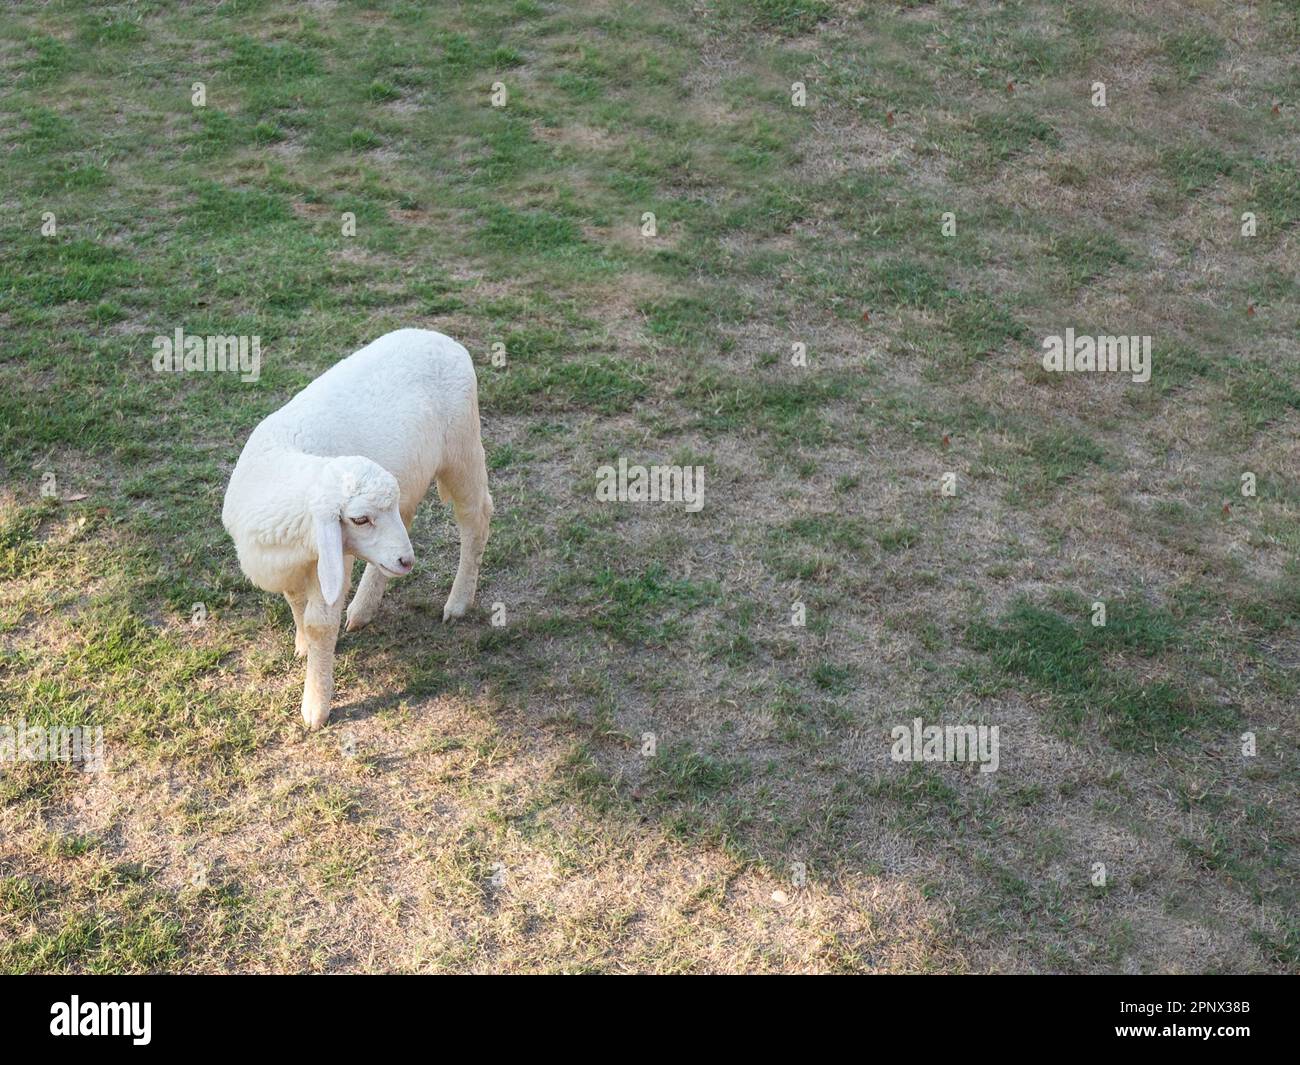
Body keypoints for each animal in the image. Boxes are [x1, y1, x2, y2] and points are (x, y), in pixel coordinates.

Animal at [222, 328, 493, 730]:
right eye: (360, 519)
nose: (409, 562)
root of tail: (440, 337)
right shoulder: (296, 564)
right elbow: (295, 601)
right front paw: (302, 645)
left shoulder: (332, 563)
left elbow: (320, 623)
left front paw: (315, 705)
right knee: (403, 529)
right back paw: (364, 607)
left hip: (463, 448)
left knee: (476, 518)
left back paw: (457, 602)